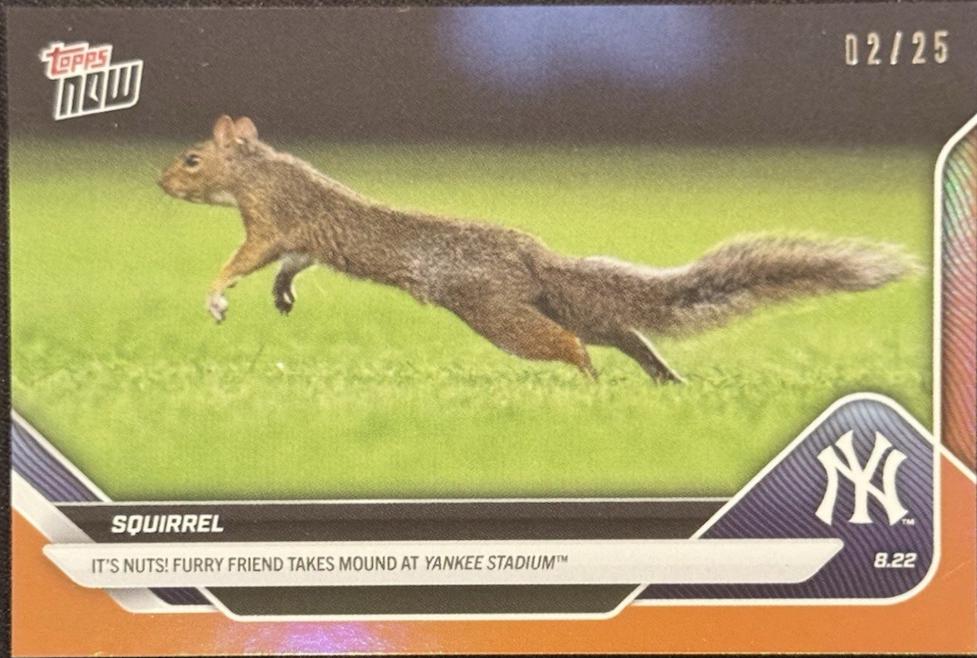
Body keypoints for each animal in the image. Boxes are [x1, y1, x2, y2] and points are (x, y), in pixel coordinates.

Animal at [158, 115, 918, 383]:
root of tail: (532, 257)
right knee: (621, 331)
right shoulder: (296, 237)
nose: (161, 181)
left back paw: (588, 382)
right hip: (559, 304)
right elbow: (293, 263)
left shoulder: (269, 220)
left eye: (192, 160)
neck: (260, 167)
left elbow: (244, 259)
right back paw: (663, 381)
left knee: (571, 344)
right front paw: (282, 295)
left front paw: (218, 295)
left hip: (495, 313)